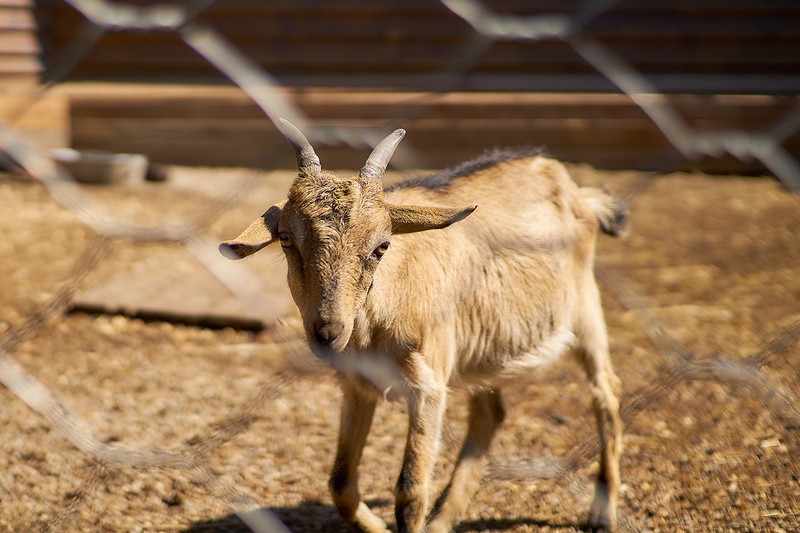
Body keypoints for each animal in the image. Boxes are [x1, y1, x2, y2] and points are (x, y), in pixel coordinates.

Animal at [219, 120, 624, 532]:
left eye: (382, 246)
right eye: (286, 239)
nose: (329, 333)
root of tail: (578, 191)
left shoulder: (429, 387)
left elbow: (410, 491)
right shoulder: (357, 385)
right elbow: (341, 484)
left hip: (586, 311)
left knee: (605, 393)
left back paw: (602, 513)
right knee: (490, 412)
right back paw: (444, 518)